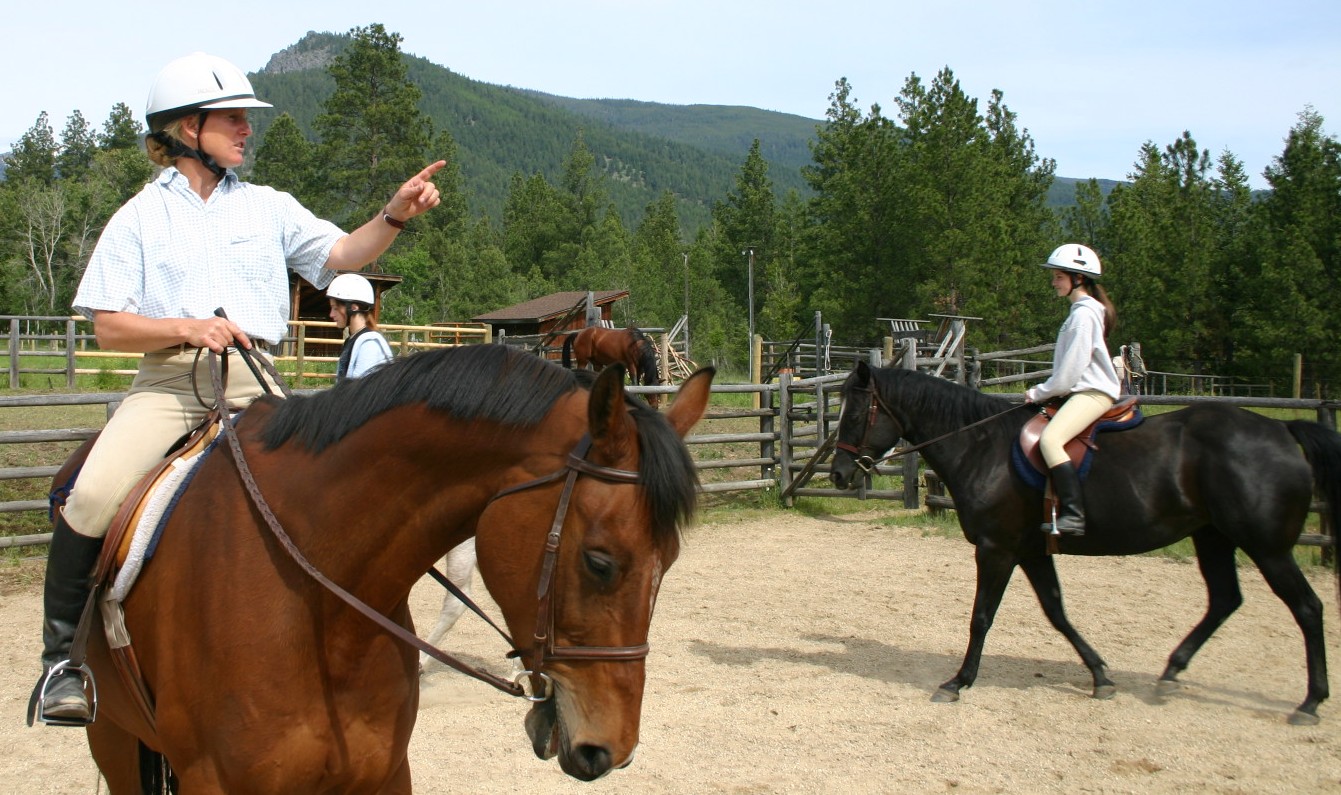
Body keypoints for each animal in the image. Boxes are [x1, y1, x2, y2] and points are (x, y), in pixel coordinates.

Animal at [63, 345, 713, 793]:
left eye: (670, 563)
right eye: (600, 562)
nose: (614, 751)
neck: (320, 609)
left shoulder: (382, 772)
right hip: (112, 737)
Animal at [826, 361, 1341, 723]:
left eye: (856, 412)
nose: (838, 474)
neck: (981, 445)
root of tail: (1281, 429)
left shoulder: (996, 549)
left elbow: (981, 617)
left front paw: (957, 682)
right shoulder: (1031, 551)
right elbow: (1057, 612)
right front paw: (1100, 675)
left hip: (1267, 548)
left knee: (1307, 608)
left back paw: (1310, 703)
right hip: (1213, 537)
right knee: (1225, 600)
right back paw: (1171, 673)